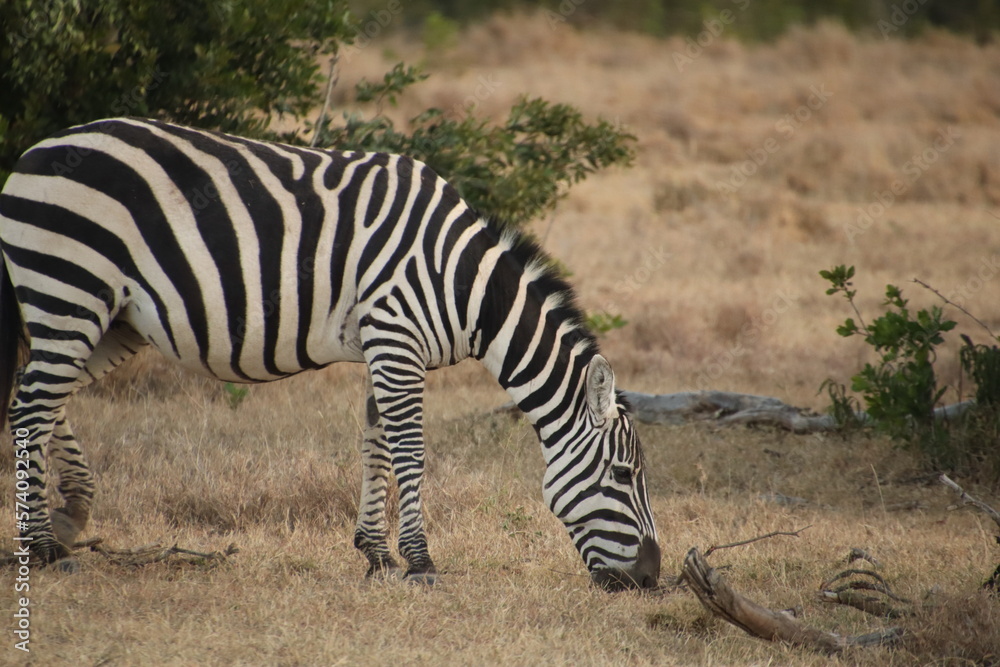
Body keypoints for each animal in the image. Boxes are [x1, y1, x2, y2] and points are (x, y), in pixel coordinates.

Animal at [1, 118, 664, 588]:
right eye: (624, 475)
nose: (652, 578)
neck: (461, 283)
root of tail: (32, 154)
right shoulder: (396, 337)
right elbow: (409, 450)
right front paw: (421, 562)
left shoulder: (385, 344)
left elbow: (375, 443)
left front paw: (376, 555)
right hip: (70, 288)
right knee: (32, 405)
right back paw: (41, 547)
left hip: (112, 318)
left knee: (32, 398)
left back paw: (69, 517)